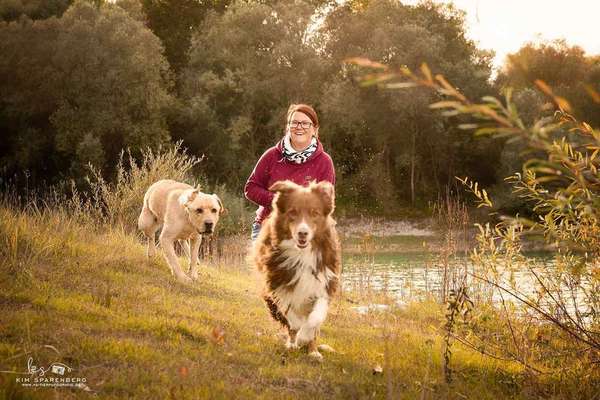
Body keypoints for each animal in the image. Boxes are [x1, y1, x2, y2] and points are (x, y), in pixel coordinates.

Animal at [251, 180, 340, 358]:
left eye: (314, 213)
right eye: (293, 212)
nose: (302, 233)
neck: (302, 253)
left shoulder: (324, 283)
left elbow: (315, 318)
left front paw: (305, 337)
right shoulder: (277, 283)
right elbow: (291, 316)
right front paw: (298, 337)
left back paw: (313, 352)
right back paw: (293, 343)